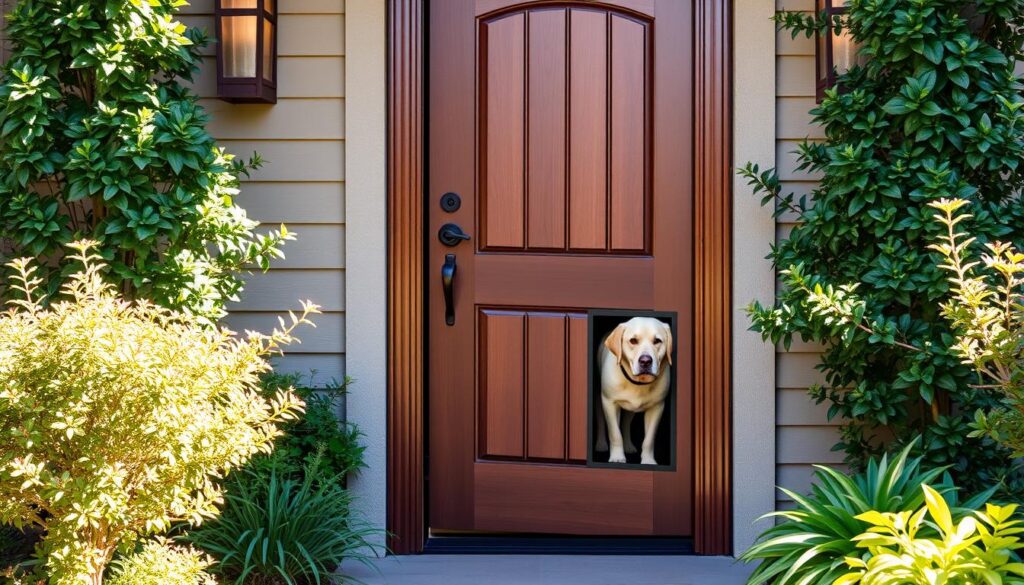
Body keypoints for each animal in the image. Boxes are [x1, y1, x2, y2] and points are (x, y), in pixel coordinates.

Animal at [593, 317, 671, 465]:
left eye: (657, 341)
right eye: (633, 341)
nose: (645, 361)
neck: (638, 382)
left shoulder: (657, 407)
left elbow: (649, 439)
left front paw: (648, 460)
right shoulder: (609, 403)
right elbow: (615, 433)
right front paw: (617, 457)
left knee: (625, 423)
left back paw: (628, 446)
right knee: (601, 419)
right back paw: (601, 444)